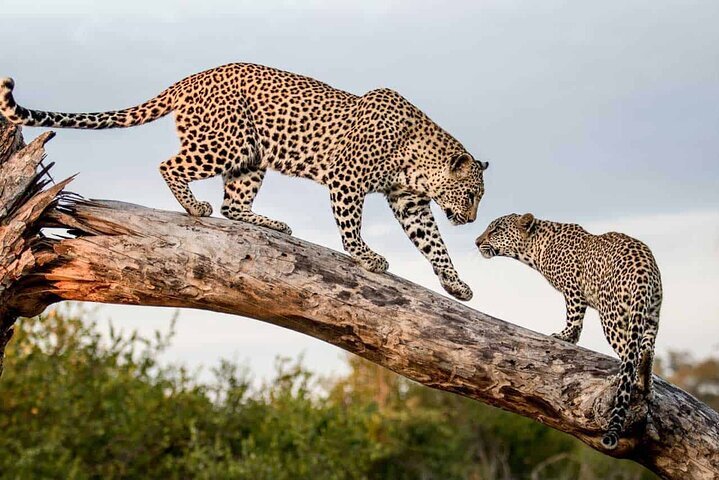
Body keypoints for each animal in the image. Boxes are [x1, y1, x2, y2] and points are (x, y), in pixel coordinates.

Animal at [0, 62, 490, 300]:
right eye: (470, 195)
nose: (469, 221)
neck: (416, 160)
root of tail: (193, 76)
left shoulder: (410, 202)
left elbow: (434, 244)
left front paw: (457, 285)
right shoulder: (347, 178)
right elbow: (350, 226)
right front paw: (367, 257)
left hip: (252, 157)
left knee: (234, 205)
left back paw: (270, 223)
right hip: (226, 143)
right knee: (169, 165)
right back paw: (194, 207)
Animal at [478, 214, 664, 450]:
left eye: (496, 230)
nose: (477, 242)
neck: (536, 247)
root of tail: (644, 268)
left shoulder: (573, 289)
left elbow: (574, 319)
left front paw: (565, 336)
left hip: (611, 314)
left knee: (631, 354)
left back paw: (621, 380)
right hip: (651, 315)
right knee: (647, 351)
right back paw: (647, 388)